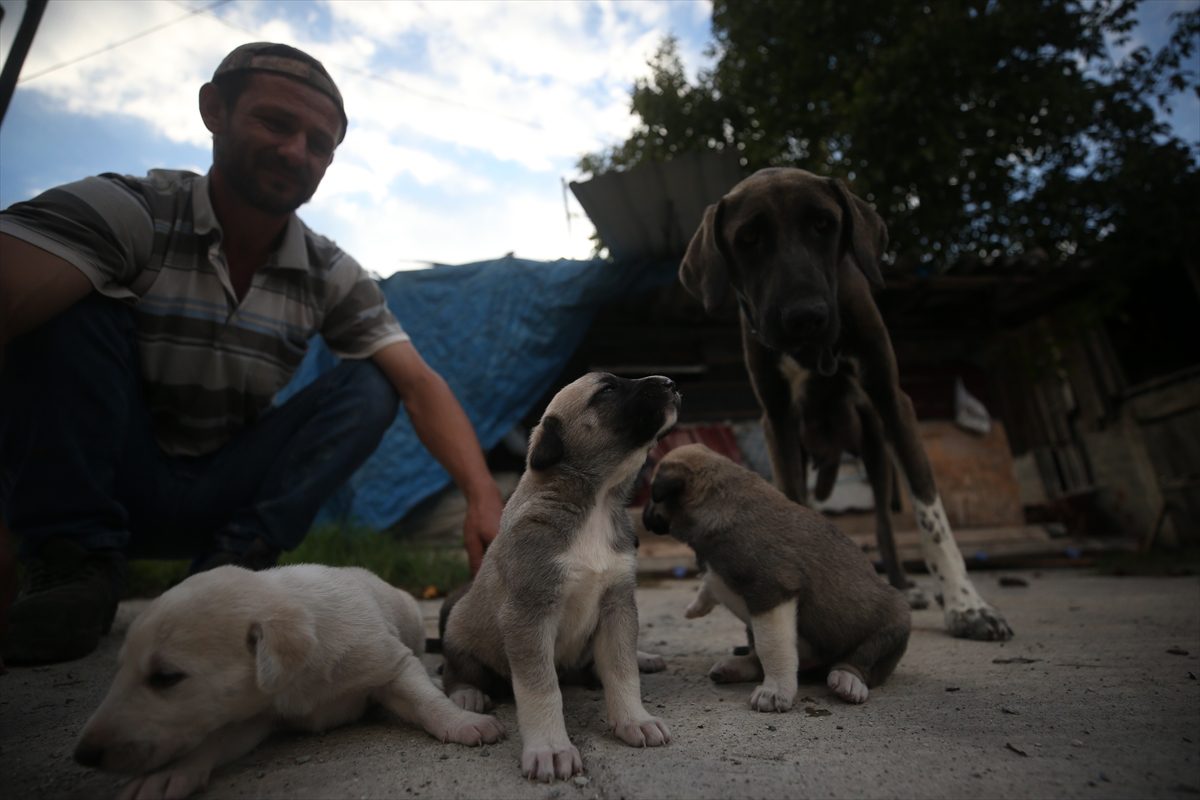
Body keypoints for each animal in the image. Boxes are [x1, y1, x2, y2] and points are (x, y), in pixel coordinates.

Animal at [73, 566, 506, 796]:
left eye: (165, 678)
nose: (83, 755)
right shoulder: (252, 714)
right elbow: (215, 738)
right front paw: (168, 774)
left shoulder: (390, 663)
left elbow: (423, 698)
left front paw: (464, 722)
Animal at [444, 374, 686, 782]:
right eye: (607, 390)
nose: (670, 382)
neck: (596, 505)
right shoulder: (529, 614)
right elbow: (542, 689)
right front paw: (551, 749)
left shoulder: (618, 604)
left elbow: (622, 670)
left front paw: (634, 719)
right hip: (460, 629)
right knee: (457, 667)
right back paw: (467, 693)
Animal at [648, 441, 907, 710]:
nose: (644, 519)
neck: (718, 502)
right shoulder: (720, 576)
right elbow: (710, 585)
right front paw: (696, 607)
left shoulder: (771, 592)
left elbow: (772, 647)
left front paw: (774, 690)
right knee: (756, 655)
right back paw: (736, 666)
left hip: (893, 624)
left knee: (862, 658)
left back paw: (848, 679)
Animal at [681, 169, 1008, 642]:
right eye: (748, 238)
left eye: (823, 224)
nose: (805, 316)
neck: (814, 353)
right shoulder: (777, 420)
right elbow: (790, 504)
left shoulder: (893, 400)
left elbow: (931, 514)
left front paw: (967, 605)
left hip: (874, 448)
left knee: (885, 522)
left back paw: (904, 586)